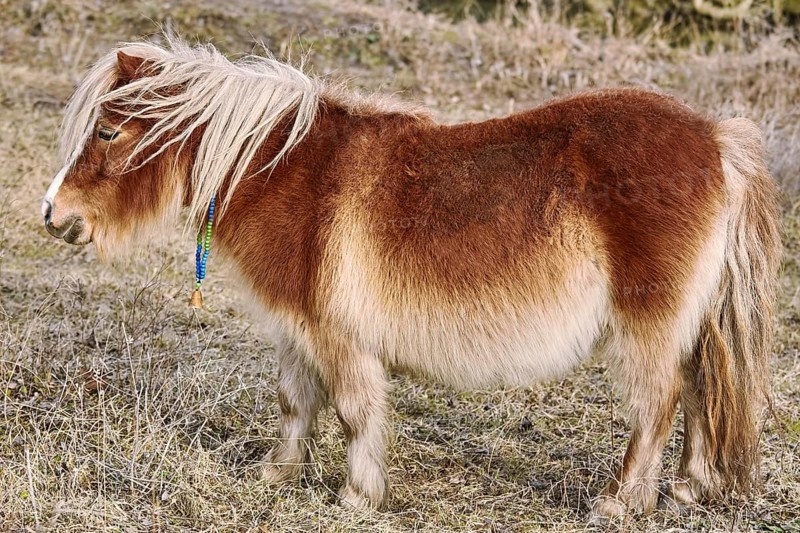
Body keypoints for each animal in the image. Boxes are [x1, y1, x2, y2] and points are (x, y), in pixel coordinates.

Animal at [42, 39, 781, 519]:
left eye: (107, 132)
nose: (53, 215)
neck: (285, 173)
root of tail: (717, 139)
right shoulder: (295, 326)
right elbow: (294, 401)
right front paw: (278, 474)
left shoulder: (337, 335)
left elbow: (352, 411)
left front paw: (356, 495)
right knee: (699, 391)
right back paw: (686, 488)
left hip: (648, 322)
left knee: (657, 403)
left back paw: (617, 503)